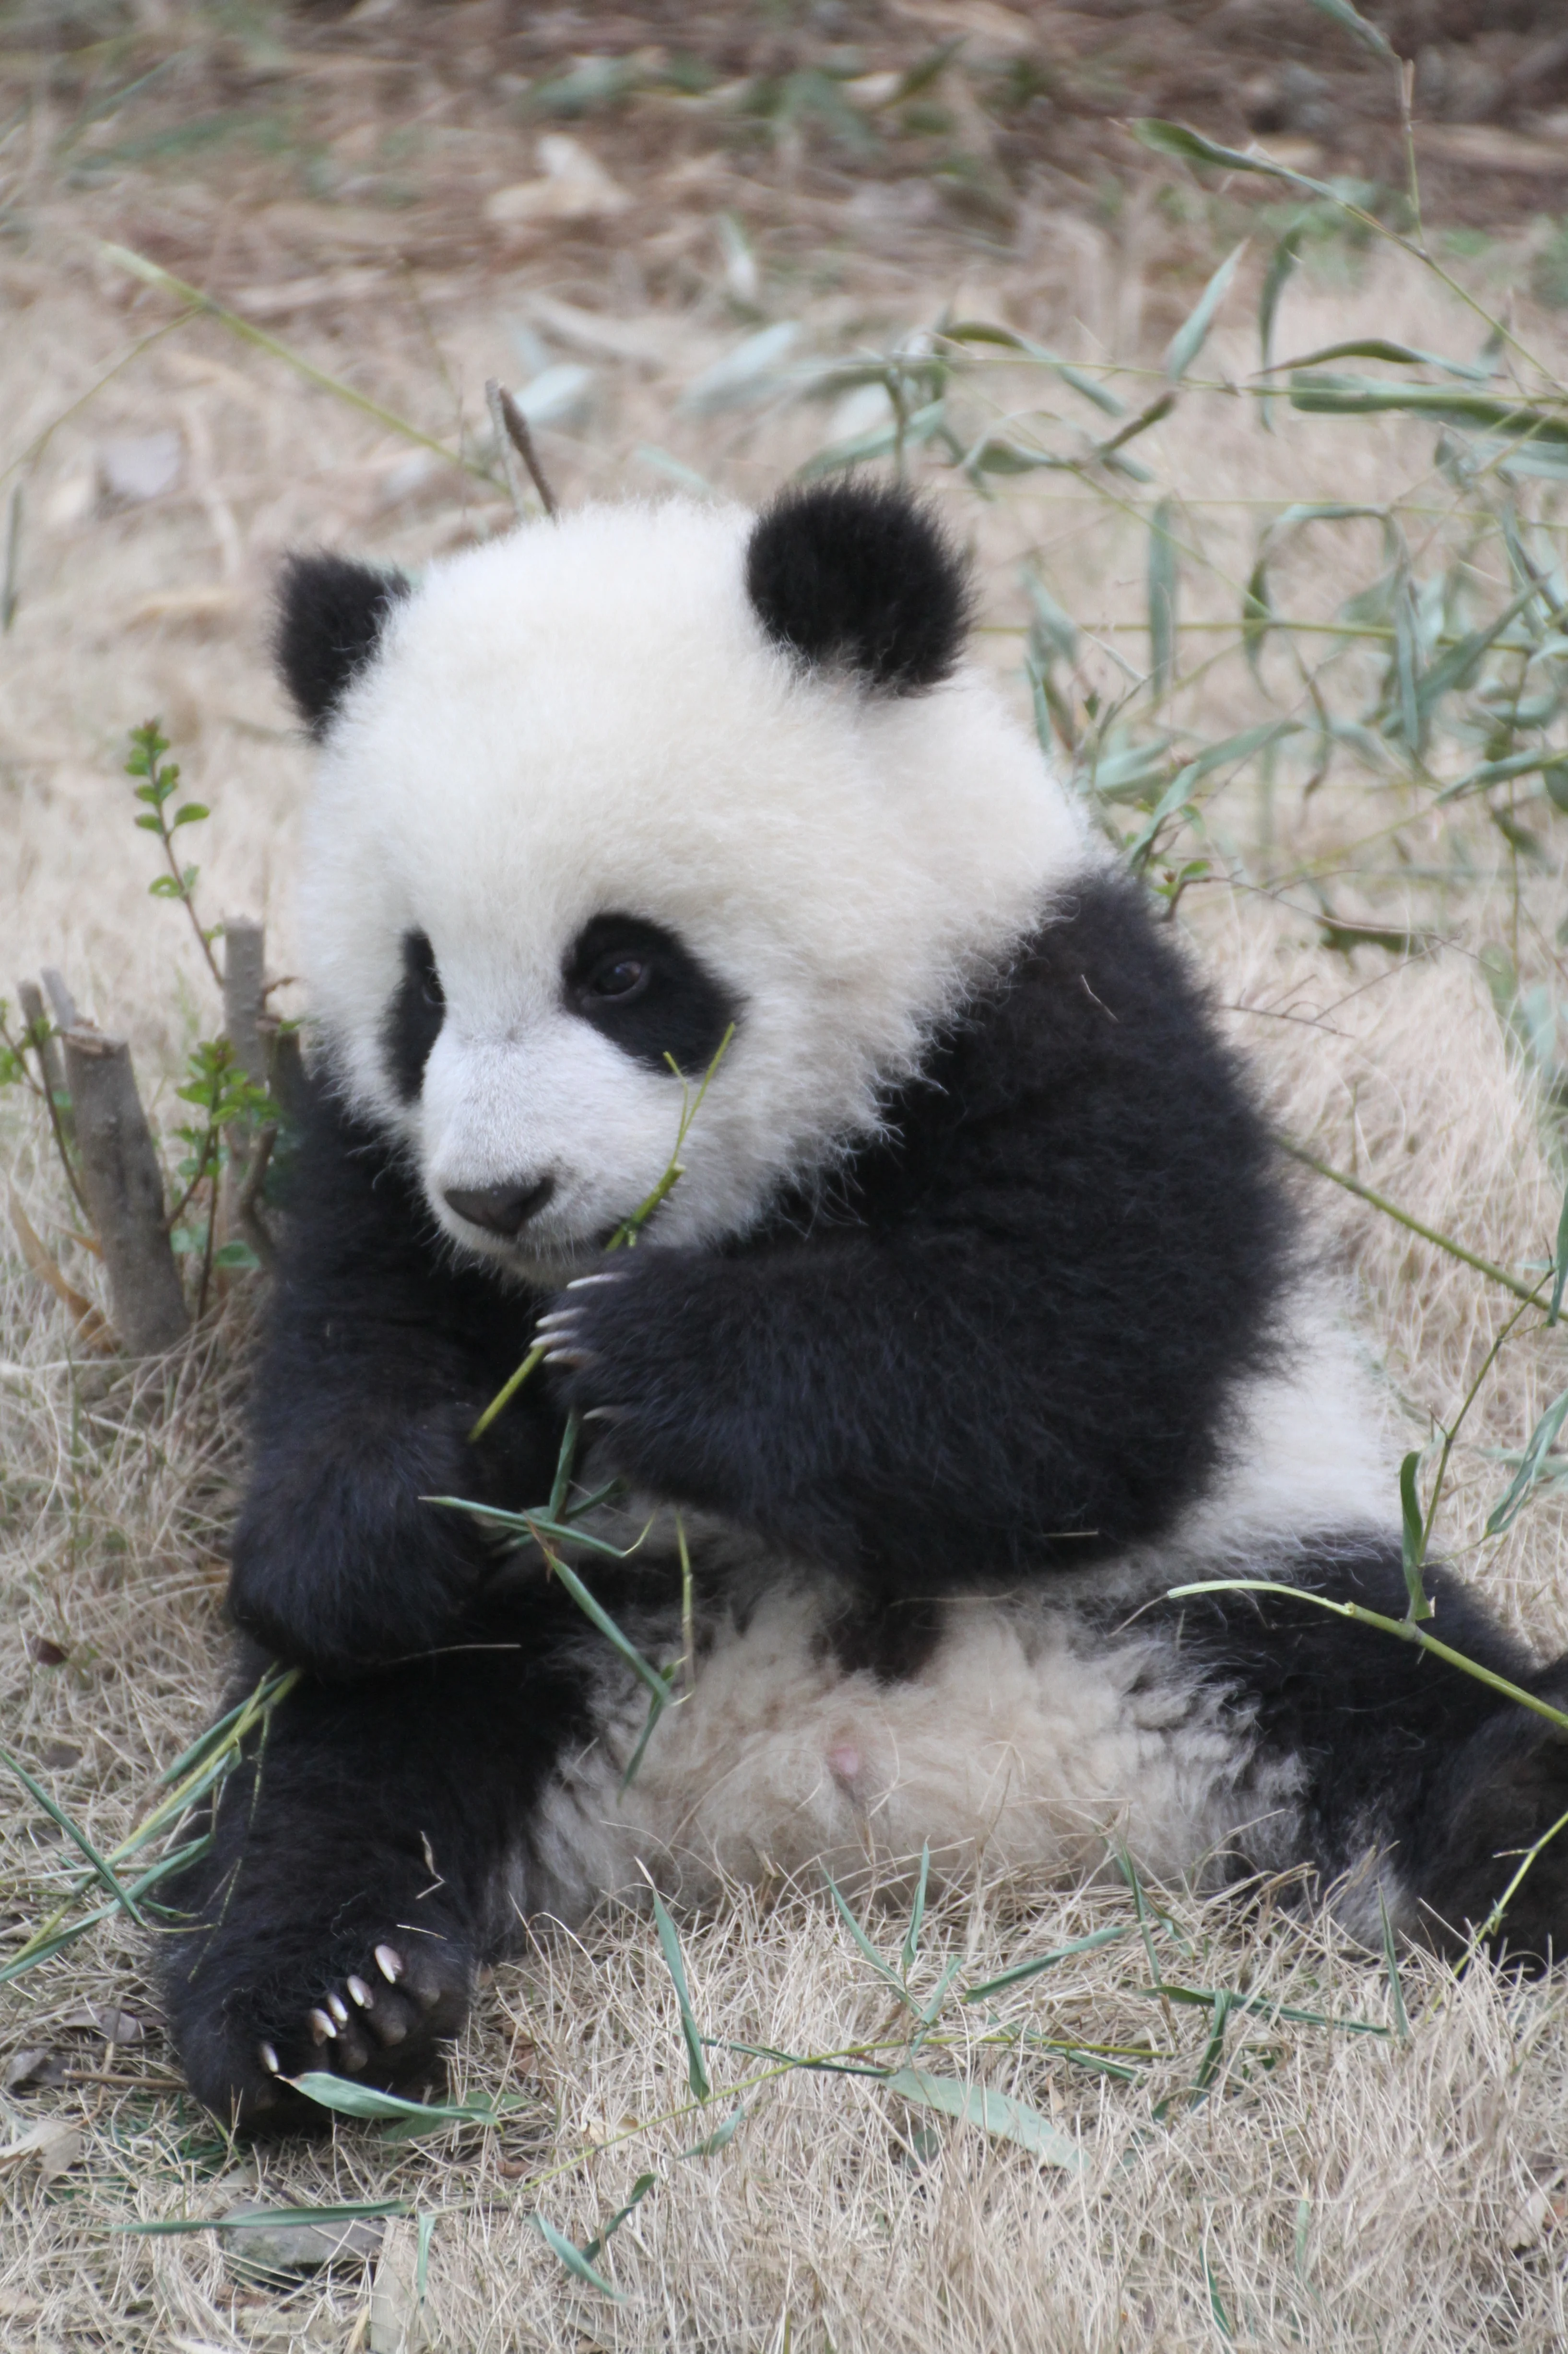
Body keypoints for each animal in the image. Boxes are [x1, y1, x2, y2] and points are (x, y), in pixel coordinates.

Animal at [162, 482, 1568, 2127]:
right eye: (422, 992)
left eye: (622, 968)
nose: (503, 1195)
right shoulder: (368, 1163)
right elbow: (341, 1384)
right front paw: (426, 1499)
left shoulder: (1065, 1015)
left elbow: (1074, 1364)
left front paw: (631, 1358)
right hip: (545, 1653)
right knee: (335, 1778)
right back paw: (327, 2014)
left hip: (1235, 1595)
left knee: (1408, 1693)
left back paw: (1517, 1816)